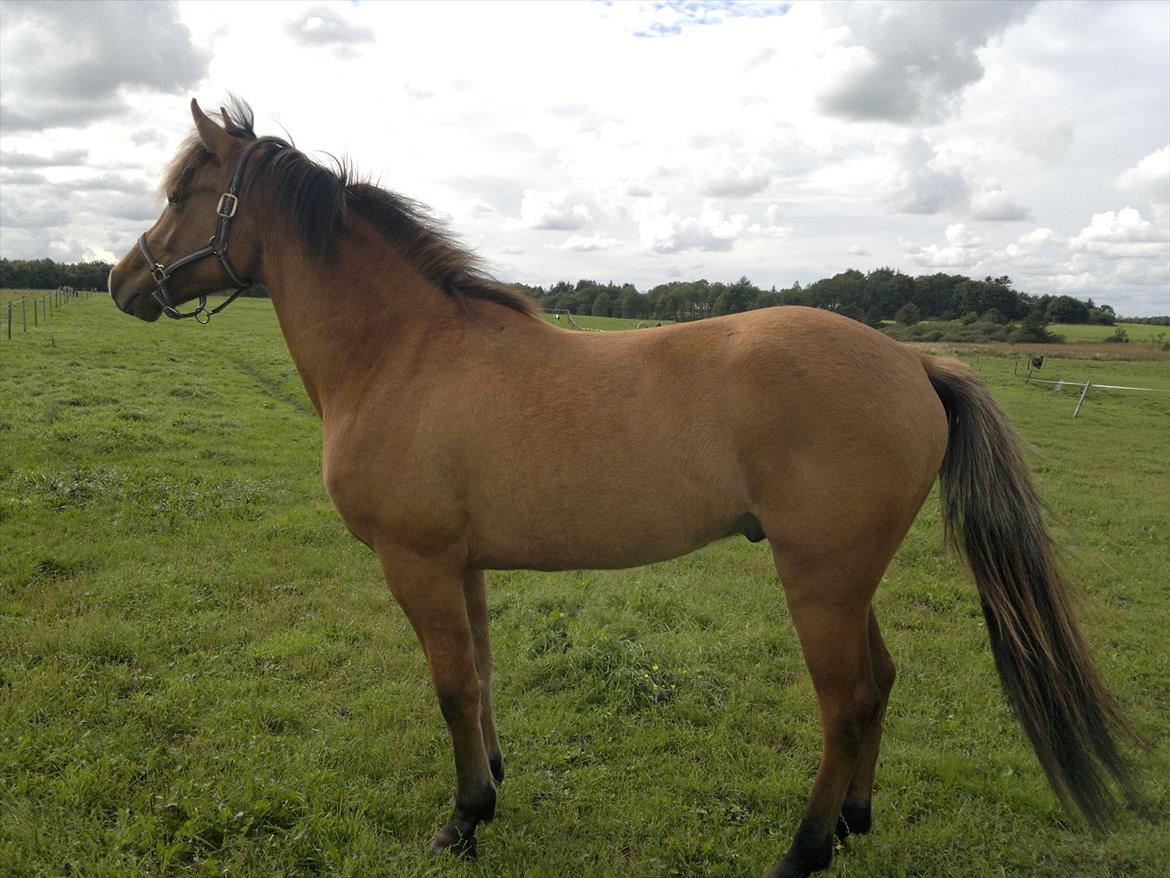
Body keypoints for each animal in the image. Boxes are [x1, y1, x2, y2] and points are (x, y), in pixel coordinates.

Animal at [107, 99, 1136, 878]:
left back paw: (802, 852)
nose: (122, 283)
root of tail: (914, 361)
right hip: (849, 580)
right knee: (878, 684)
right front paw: (492, 784)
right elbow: (481, 677)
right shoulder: (462, 565)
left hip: (822, 582)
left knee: (843, 704)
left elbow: (448, 687)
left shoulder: (417, 563)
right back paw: (854, 822)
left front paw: (463, 820)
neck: (403, 354)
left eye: (183, 194)